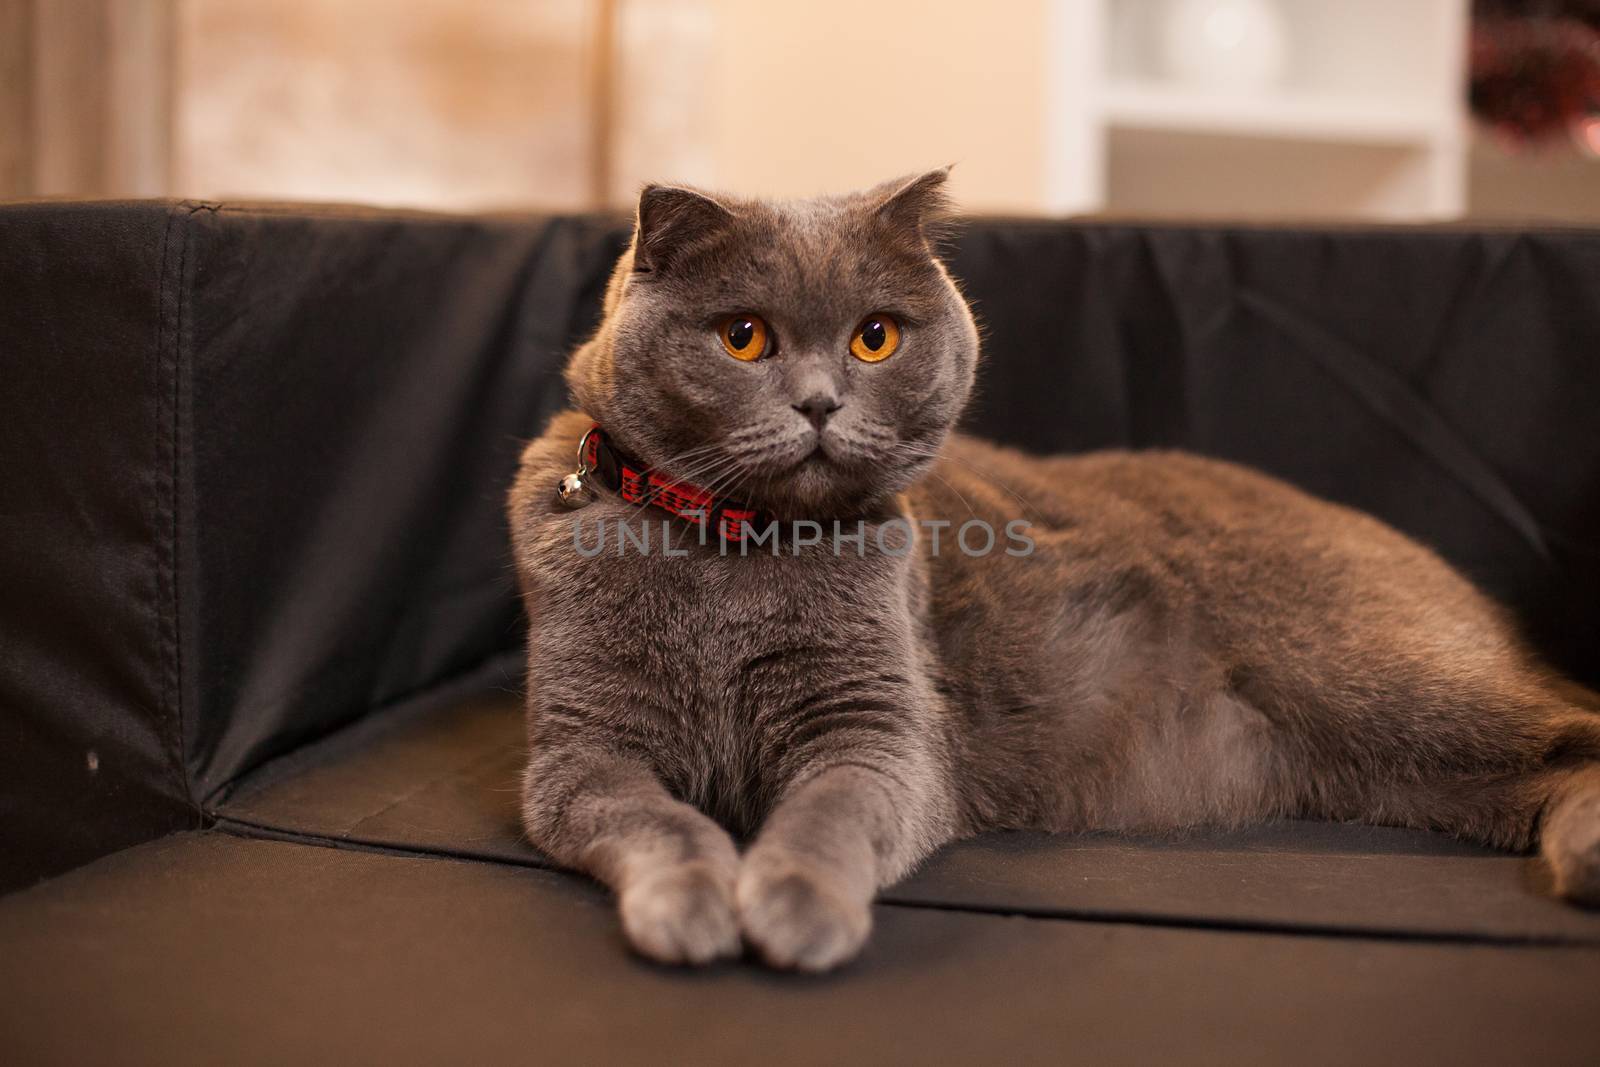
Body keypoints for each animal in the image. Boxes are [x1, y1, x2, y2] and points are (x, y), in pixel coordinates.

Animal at [508, 168, 1600, 979]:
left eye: (875, 335)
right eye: (742, 336)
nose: (819, 402)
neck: (733, 555)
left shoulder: (880, 726)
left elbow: (831, 810)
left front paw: (791, 903)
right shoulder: (580, 746)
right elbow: (654, 816)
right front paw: (692, 903)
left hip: (1385, 683)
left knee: (1571, 728)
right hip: (1402, 764)